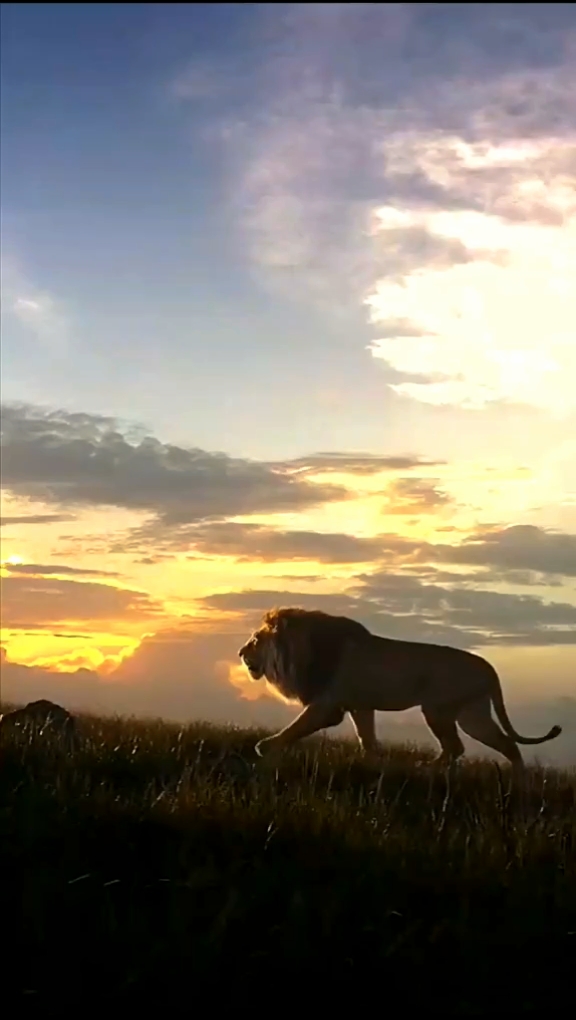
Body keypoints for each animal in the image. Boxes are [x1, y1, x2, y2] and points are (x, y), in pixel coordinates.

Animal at [238, 607, 562, 774]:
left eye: (255, 640)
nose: (240, 653)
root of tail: (488, 667)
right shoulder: (359, 705)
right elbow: (367, 738)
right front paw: (372, 764)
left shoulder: (327, 705)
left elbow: (295, 727)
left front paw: (264, 747)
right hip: (472, 713)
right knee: (500, 744)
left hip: (438, 710)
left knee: (458, 746)